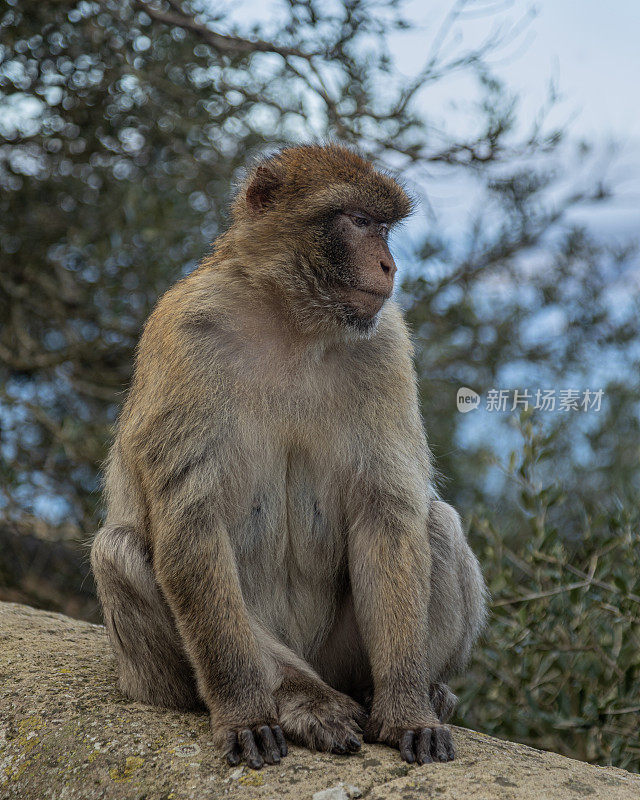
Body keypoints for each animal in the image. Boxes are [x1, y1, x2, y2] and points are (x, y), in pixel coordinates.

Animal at [91, 142, 484, 768]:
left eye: (383, 226)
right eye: (359, 221)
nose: (389, 266)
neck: (291, 320)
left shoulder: (384, 344)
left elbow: (387, 512)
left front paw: (406, 710)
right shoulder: (188, 332)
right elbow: (192, 527)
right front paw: (254, 713)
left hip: (342, 656)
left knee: (436, 525)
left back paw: (405, 691)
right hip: (156, 677)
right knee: (121, 549)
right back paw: (301, 700)